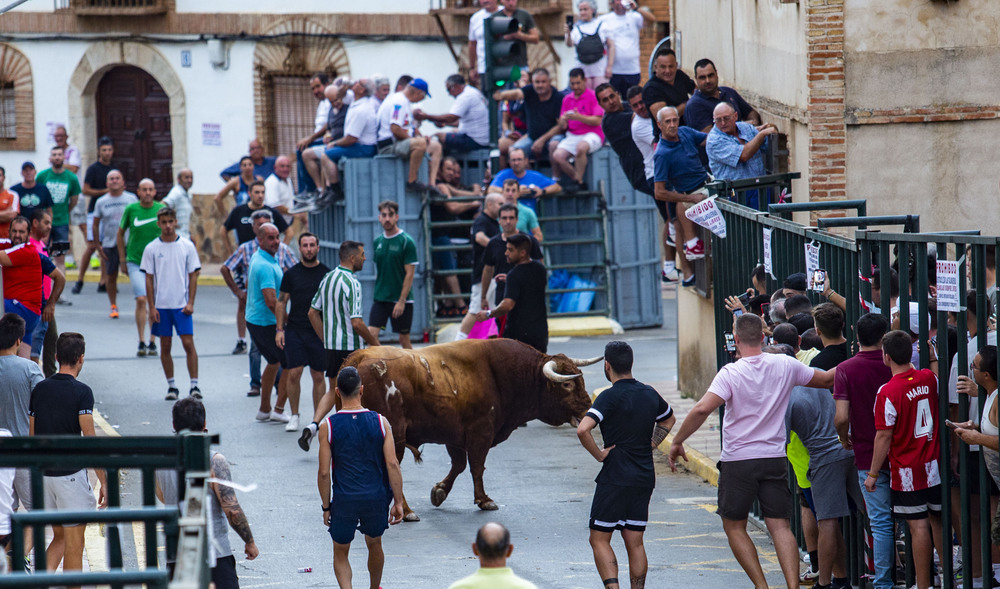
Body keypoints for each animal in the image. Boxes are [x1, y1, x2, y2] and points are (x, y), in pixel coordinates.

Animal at [342, 336, 600, 520]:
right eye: (567, 385)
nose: (588, 408)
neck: (502, 374)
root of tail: (360, 357)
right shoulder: (480, 431)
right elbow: (476, 466)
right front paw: (484, 499)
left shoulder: (454, 435)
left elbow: (459, 465)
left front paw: (439, 492)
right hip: (394, 437)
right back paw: (406, 512)